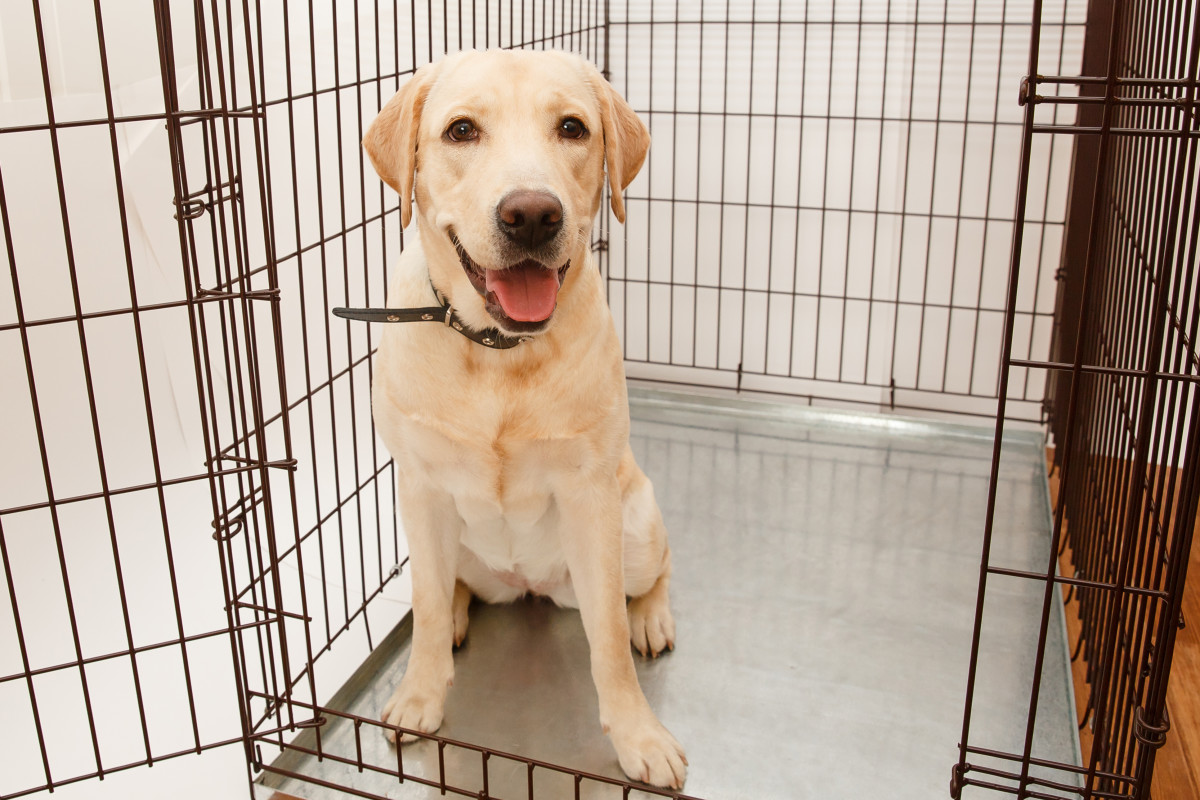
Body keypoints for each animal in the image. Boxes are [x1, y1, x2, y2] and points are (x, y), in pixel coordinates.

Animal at [360, 50, 691, 786]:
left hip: (633, 530)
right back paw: (457, 617)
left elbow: (608, 644)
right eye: (461, 130)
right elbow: (426, 607)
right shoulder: (418, 486)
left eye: (572, 127)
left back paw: (651, 619)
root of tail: (528, 587)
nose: (532, 215)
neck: (496, 352)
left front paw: (639, 736)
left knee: (655, 575)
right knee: (443, 588)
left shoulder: (590, 498)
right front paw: (420, 696)